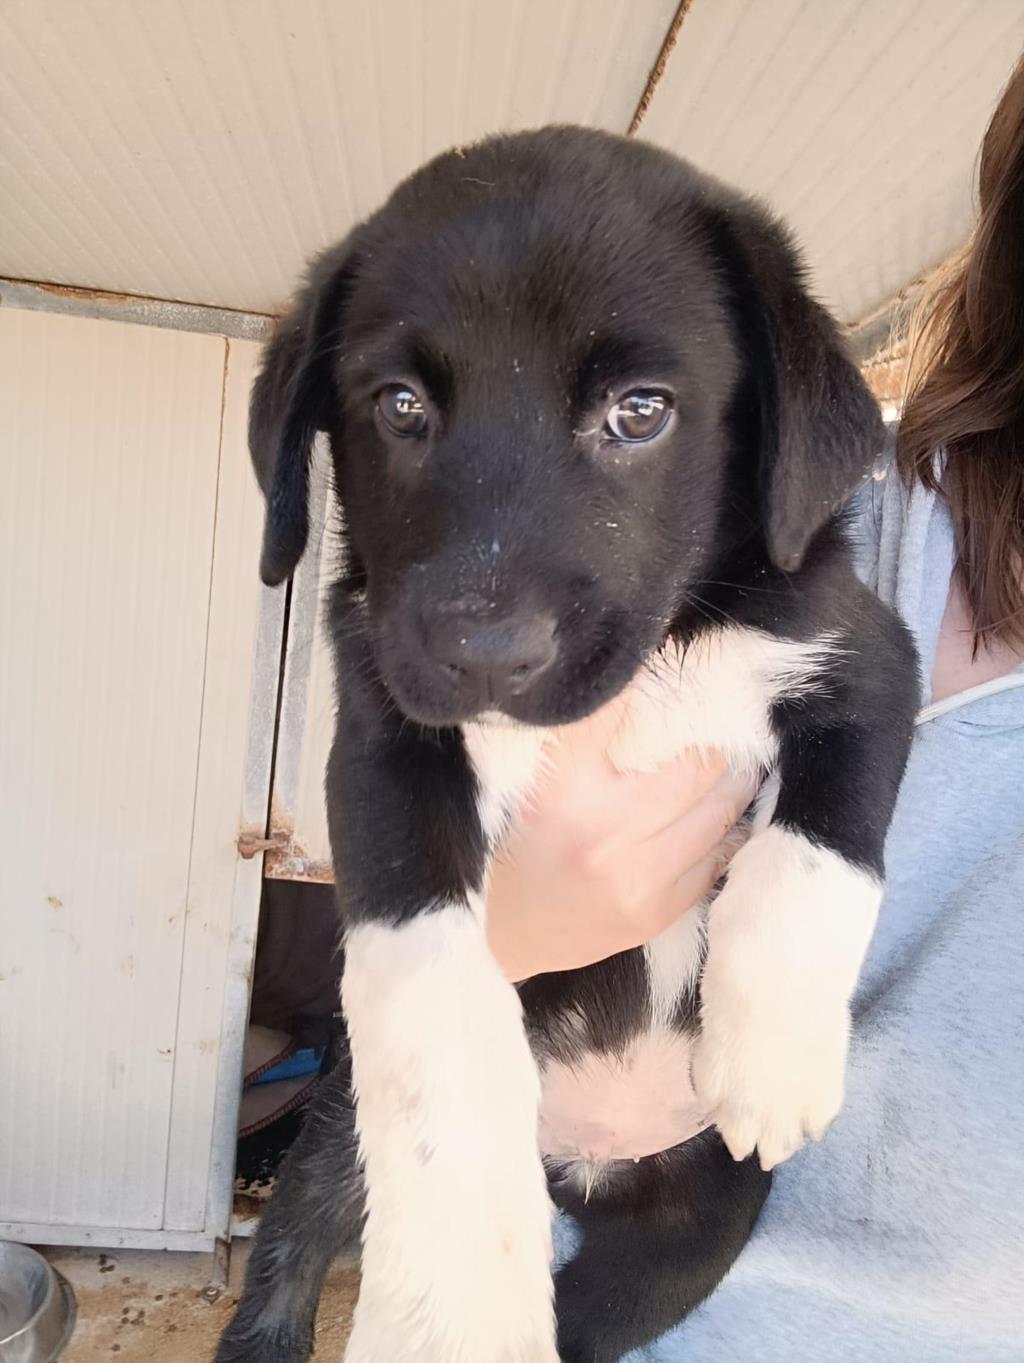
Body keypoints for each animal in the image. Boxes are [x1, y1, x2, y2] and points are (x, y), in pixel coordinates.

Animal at [218, 128, 921, 1363]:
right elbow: (434, 1007)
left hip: (690, 1231)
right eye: (399, 404)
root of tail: (582, 1161)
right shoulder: (387, 744)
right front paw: (453, 1305)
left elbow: (820, 852)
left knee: (599, 1313)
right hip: (338, 1136)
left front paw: (773, 1052)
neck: (649, 669)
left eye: (640, 411)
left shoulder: (868, 659)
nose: (486, 654)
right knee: (294, 1244)